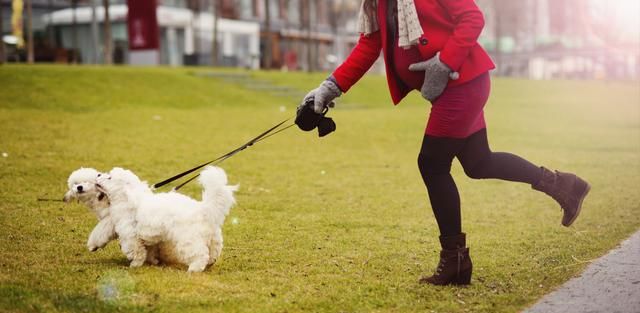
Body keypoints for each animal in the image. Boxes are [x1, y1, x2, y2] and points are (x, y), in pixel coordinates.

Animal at [94, 166, 236, 270]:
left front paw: (135, 265)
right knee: (213, 252)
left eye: (110, 177)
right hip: (214, 239)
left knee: (200, 254)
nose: (98, 175)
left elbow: (137, 252)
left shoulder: (131, 237)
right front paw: (153, 261)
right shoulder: (152, 239)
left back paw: (194, 269)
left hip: (188, 240)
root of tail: (202, 209)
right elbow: (150, 251)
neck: (129, 199)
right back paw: (210, 263)